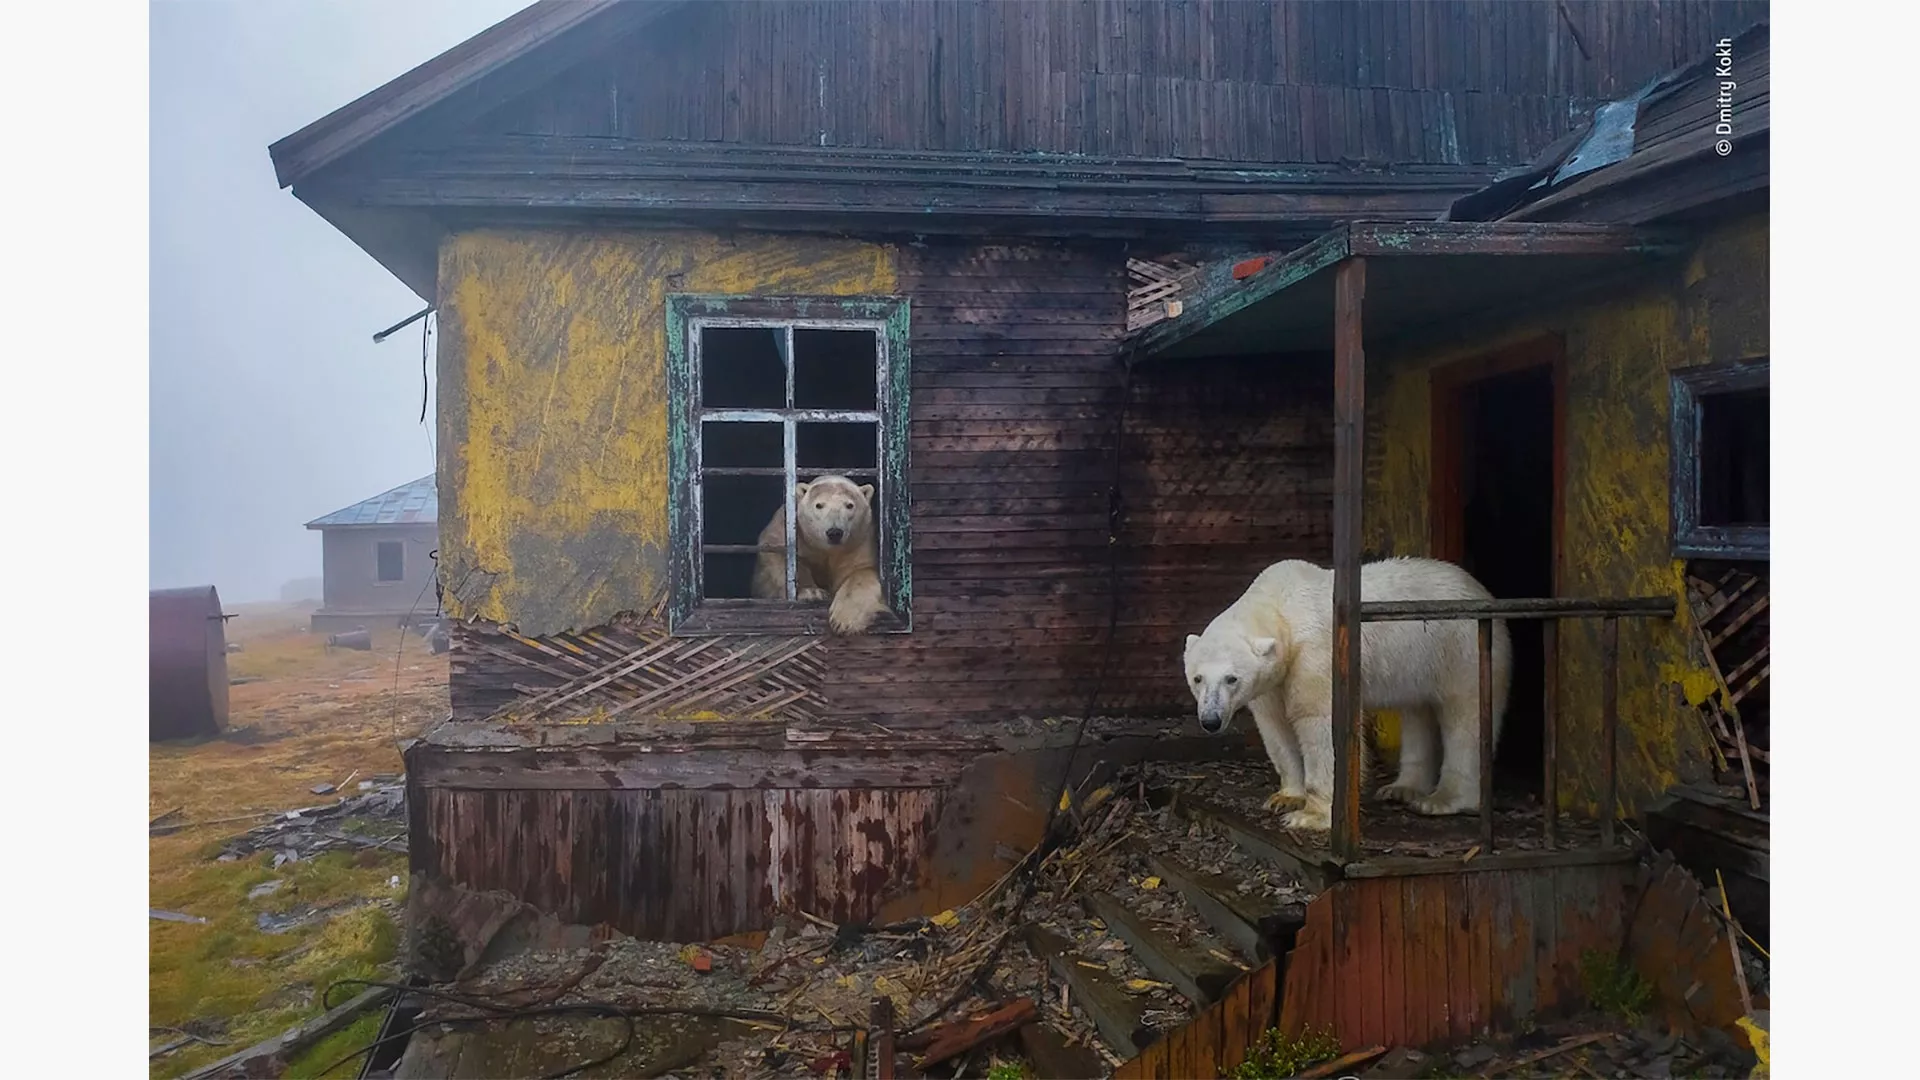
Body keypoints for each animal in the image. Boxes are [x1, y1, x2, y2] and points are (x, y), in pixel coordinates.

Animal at [752, 470, 894, 630]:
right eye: (819, 505)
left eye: (849, 505)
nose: (834, 532)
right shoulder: (787, 528)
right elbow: (778, 554)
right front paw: (812, 592)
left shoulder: (860, 540)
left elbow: (861, 571)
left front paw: (843, 620)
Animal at [1182, 553, 1512, 834]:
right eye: (1197, 678)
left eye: (1231, 678)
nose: (1210, 720)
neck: (1281, 606)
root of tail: (1482, 591)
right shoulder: (1273, 680)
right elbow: (1275, 727)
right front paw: (1284, 797)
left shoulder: (1315, 655)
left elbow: (1320, 723)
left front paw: (1310, 816)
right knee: (1417, 711)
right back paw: (1402, 788)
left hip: (1461, 648)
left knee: (1465, 717)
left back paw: (1441, 799)